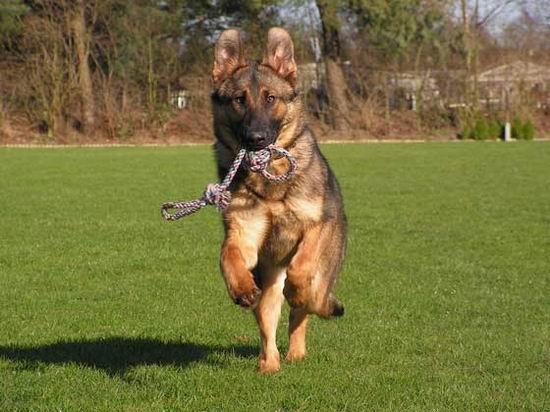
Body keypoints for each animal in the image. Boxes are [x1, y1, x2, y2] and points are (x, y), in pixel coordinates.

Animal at [212, 27, 348, 372]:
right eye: (239, 100)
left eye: (270, 98)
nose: (255, 139)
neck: (270, 179)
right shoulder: (243, 233)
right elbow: (227, 256)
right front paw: (240, 286)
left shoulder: (317, 225)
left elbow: (302, 268)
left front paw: (297, 290)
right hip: (268, 284)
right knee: (269, 321)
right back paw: (269, 365)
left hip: (324, 276)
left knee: (308, 305)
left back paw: (297, 347)